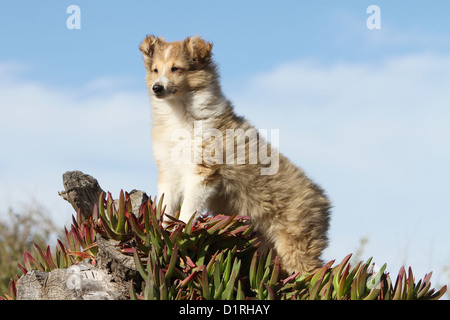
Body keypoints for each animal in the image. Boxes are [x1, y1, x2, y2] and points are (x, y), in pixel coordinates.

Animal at [138, 35, 330, 276]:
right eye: (155, 70)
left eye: (176, 68)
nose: (157, 88)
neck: (179, 113)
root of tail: (323, 202)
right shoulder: (169, 170)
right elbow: (166, 204)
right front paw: (161, 229)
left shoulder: (203, 171)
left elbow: (189, 207)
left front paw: (180, 231)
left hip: (296, 244)